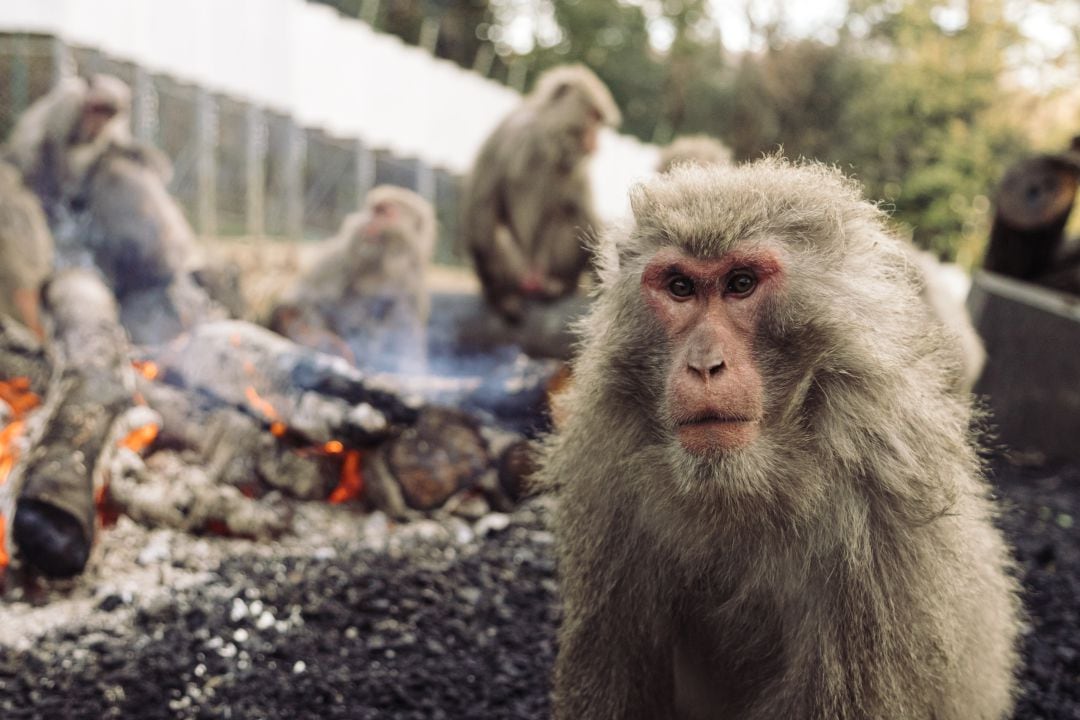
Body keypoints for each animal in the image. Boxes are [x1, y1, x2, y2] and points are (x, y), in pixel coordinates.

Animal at [270, 185, 434, 375]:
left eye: (384, 212)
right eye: (373, 210)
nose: (367, 221)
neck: (383, 264)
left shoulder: (412, 285)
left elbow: (404, 339)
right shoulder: (344, 255)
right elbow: (301, 299)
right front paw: (314, 337)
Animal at [460, 63, 622, 321]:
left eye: (599, 120)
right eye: (592, 117)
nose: (596, 145)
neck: (545, 133)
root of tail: (531, 278)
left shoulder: (574, 166)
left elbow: (584, 215)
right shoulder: (508, 133)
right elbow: (481, 204)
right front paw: (497, 296)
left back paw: (559, 286)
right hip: (519, 267)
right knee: (494, 231)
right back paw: (506, 294)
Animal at [540, 158, 1019, 720]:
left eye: (740, 283)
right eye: (680, 287)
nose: (705, 364)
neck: (747, 476)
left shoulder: (884, 510)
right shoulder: (606, 475)